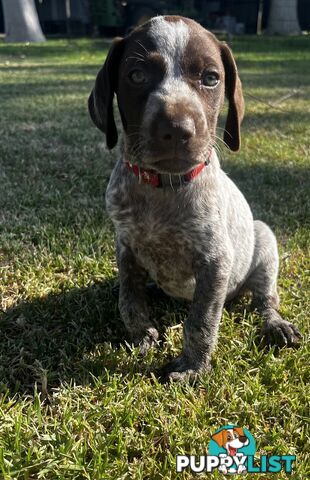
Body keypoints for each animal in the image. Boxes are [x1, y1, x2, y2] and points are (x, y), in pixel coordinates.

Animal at [88, 15, 302, 382]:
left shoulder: (215, 262)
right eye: (137, 75)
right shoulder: (125, 247)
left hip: (264, 242)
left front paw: (192, 366)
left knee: (265, 300)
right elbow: (129, 300)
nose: (177, 129)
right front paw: (143, 335)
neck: (162, 188)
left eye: (211, 78)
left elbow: (201, 321)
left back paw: (276, 324)